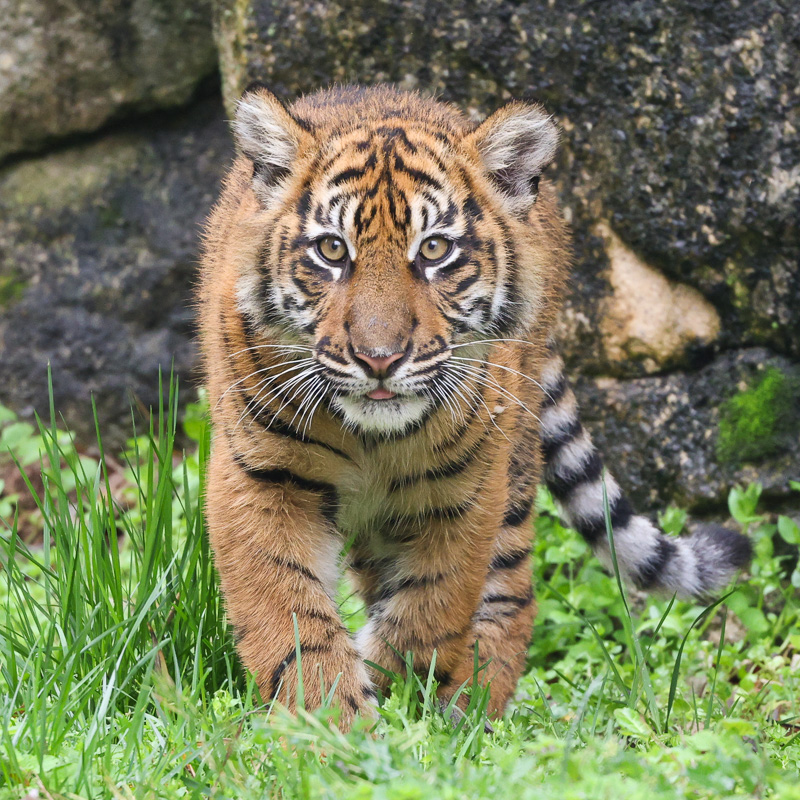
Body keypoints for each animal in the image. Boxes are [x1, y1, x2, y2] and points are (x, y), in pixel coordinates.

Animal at [198, 84, 751, 728]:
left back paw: (474, 709)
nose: (379, 359)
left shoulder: (464, 490)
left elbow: (430, 607)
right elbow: (291, 617)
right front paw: (333, 722)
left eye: (435, 249)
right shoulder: (262, 479)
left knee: (513, 593)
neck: (370, 439)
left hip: (512, 469)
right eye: (332, 250)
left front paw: (396, 695)